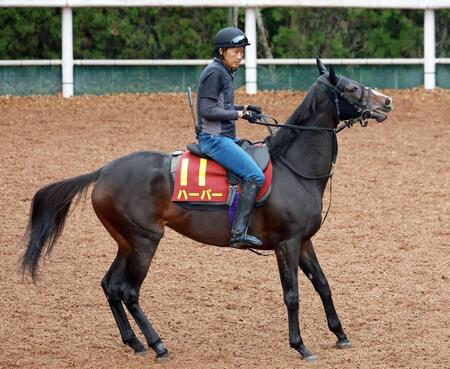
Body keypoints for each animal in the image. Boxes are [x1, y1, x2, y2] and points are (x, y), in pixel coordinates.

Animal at [21, 58, 392, 362]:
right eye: (351, 87)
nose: (386, 101)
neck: (293, 167)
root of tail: (104, 172)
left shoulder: (303, 242)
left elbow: (323, 284)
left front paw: (340, 334)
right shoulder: (286, 244)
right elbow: (293, 295)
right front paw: (300, 345)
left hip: (127, 243)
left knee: (110, 285)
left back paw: (135, 342)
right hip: (144, 242)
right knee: (129, 291)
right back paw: (157, 344)